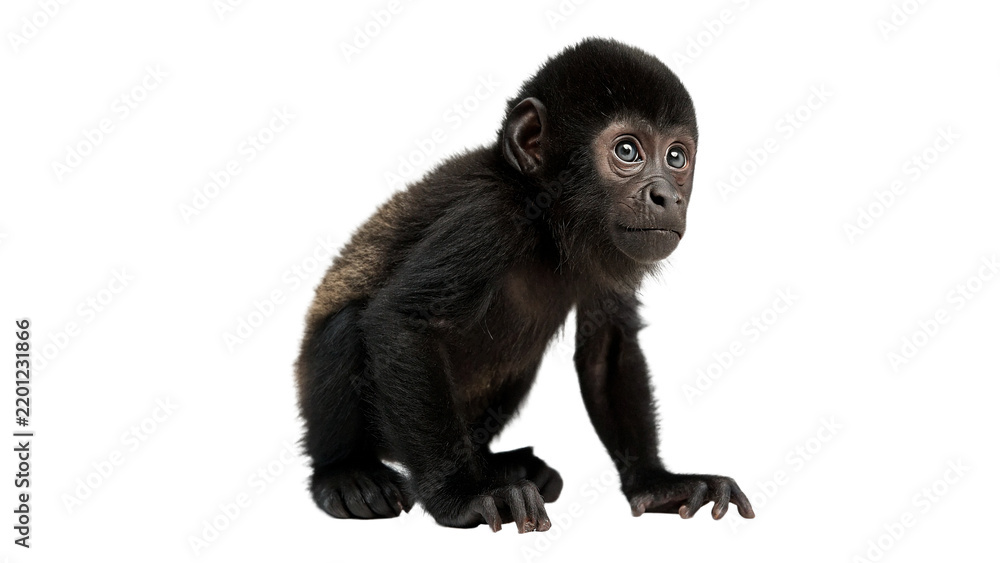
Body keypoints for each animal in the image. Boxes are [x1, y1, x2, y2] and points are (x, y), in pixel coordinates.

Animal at [294, 37, 754, 533]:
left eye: (675, 157)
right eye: (628, 151)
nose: (667, 195)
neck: (548, 227)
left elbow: (607, 348)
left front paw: (656, 483)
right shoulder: (490, 215)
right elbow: (403, 322)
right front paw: (461, 496)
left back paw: (501, 464)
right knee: (347, 327)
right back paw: (347, 474)